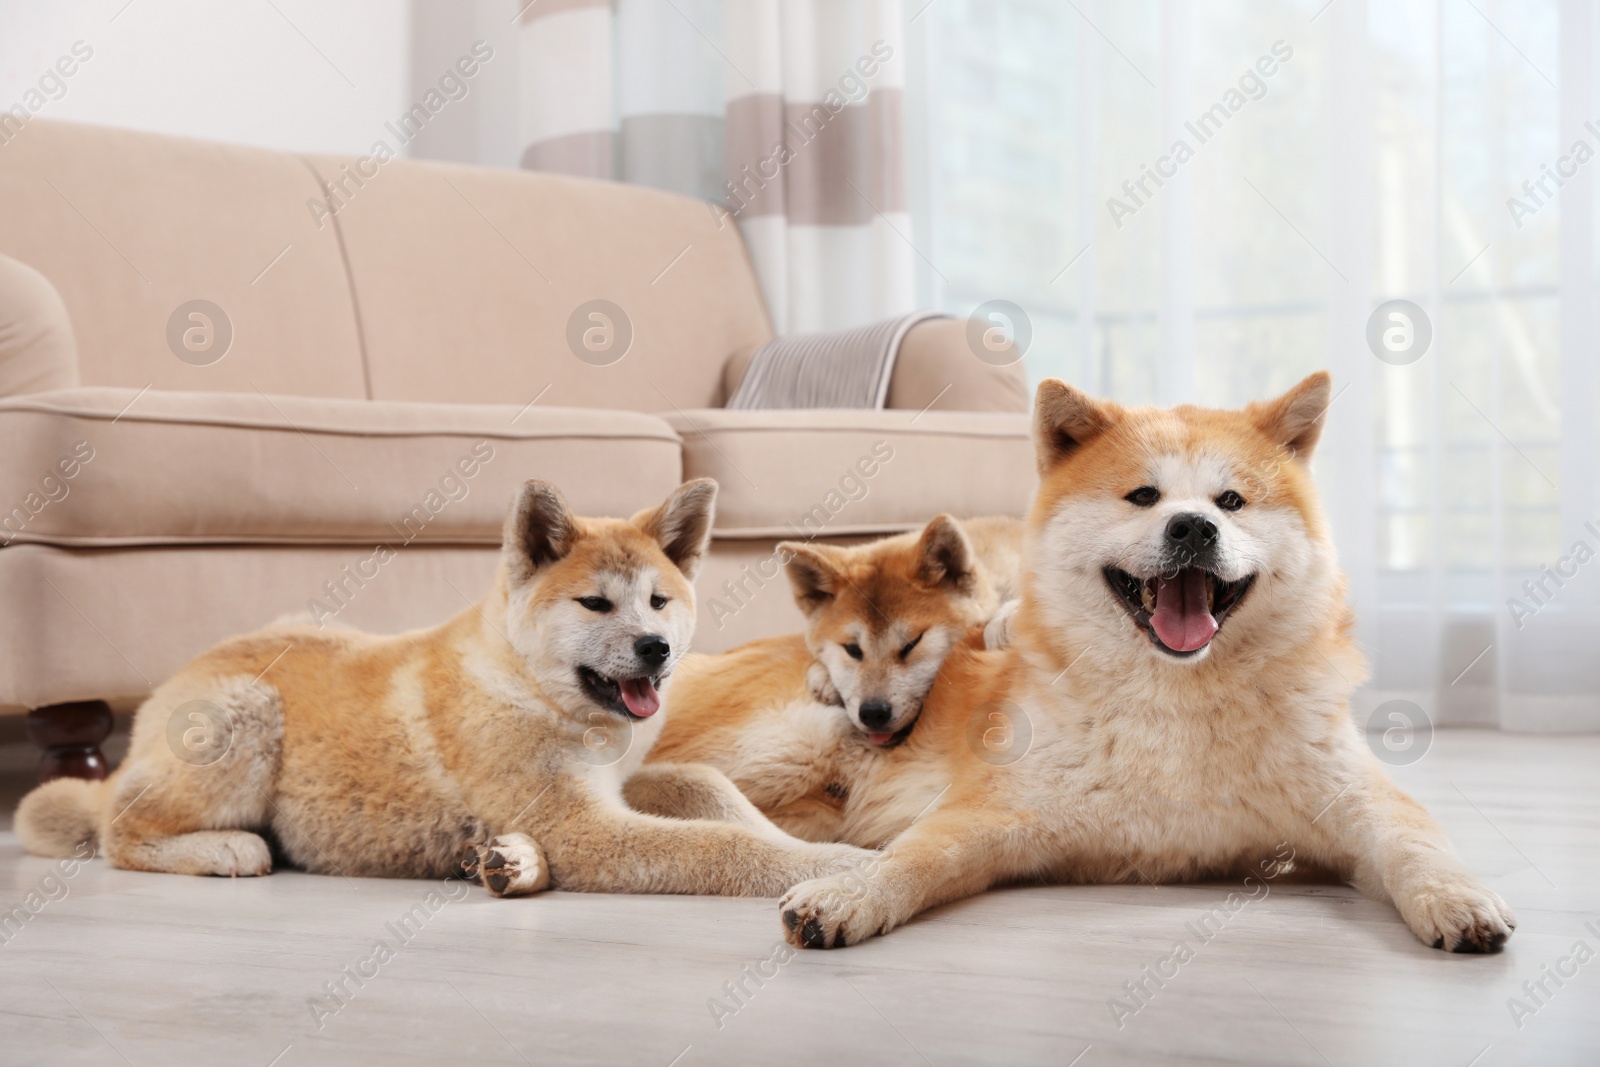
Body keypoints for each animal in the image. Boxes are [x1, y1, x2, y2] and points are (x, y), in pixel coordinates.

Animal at [15, 479, 876, 895]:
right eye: (596, 603)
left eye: (660, 600)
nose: (657, 649)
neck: (530, 688)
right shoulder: (581, 829)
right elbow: (721, 844)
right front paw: (833, 866)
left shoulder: (619, 785)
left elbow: (711, 789)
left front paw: (823, 846)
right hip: (245, 714)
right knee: (118, 830)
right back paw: (223, 848)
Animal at [771, 374, 1510, 953]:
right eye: (1144, 496)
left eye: (1230, 501)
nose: (1193, 527)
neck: (1177, 698)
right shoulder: (989, 810)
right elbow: (914, 855)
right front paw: (850, 891)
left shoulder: (1358, 799)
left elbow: (1415, 844)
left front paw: (1457, 897)